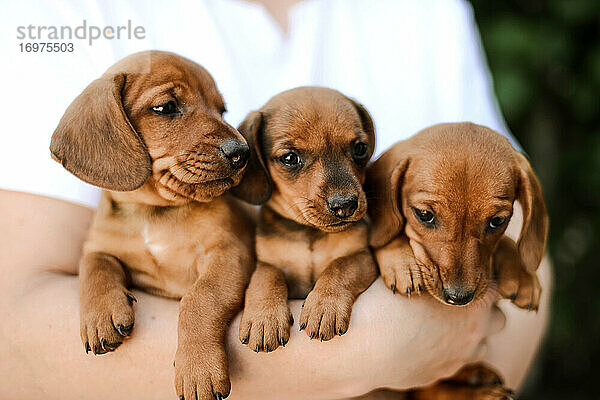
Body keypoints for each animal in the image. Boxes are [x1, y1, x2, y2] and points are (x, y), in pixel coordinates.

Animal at [48, 50, 251, 400]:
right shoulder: (99, 246)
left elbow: (200, 299)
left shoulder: (230, 253)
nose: (243, 152)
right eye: (166, 107)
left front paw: (198, 367)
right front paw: (100, 314)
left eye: (222, 109)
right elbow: (95, 266)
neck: (154, 213)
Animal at [232, 86, 378, 354]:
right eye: (289, 158)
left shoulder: (362, 257)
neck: (310, 232)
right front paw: (264, 318)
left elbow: (339, 267)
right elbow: (266, 278)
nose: (345, 205)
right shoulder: (267, 263)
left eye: (360, 148)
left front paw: (324, 307)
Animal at [366, 122, 548, 400]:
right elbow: (390, 235)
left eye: (497, 221)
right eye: (424, 215)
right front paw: (403, 262)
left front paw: (522, 274)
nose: (459, 298)